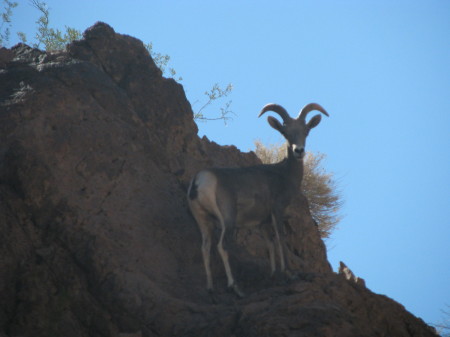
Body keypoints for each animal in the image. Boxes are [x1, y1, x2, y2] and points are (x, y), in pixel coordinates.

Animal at [188, 101, 328, 294]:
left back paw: (210, 288)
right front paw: (289, 273)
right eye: (285, 133)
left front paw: (274, 275)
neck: (283, 174)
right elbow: (280, 239)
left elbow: (270, 244)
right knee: (222, 246)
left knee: (206, 247)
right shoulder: (277, 211)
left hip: (203, 220)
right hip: (227, 219)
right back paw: (235, 287)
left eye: (306, 131)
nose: (299, 151)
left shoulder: (262, 223)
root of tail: (200, 180)